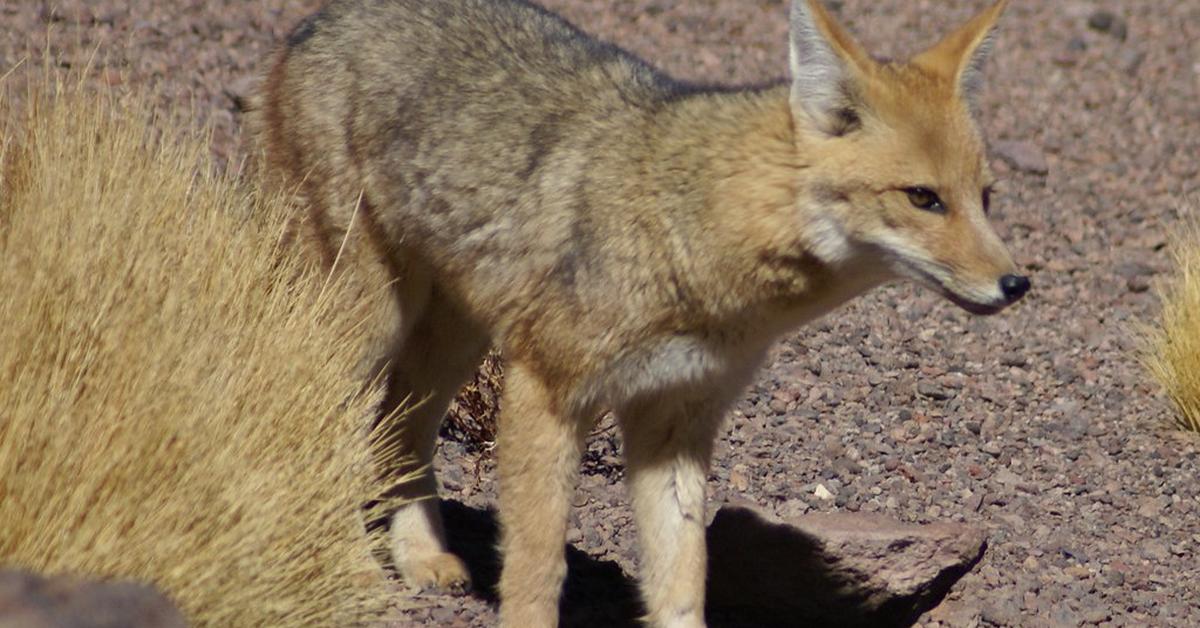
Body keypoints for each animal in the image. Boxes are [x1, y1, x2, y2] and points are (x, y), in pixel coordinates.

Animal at [255, 0, 1032, 624]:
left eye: (986, 198)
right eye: (924, 198)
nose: (1017, 283)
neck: (689, 234)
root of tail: (319, 18)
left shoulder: (675, 424)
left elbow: (683, 575)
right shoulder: (545, 393)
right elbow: (537, 566)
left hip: (456, 336)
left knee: (401, 428)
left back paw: (418, 555)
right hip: (373, 319)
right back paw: (358, 569)